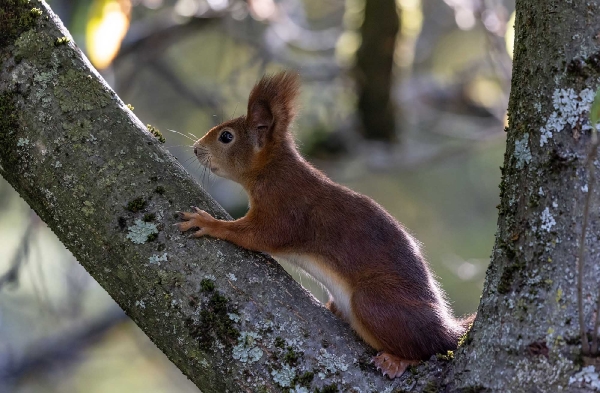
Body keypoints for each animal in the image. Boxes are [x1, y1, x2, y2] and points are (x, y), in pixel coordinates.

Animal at [176, 70, 476, 376]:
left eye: (226, 137)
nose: (196, 149)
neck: (272, 170)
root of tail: (447, 328)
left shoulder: (286, 208)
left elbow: (259, 235)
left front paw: (209, 223)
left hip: (375, 302)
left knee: (428, 347)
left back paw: (399, 360)